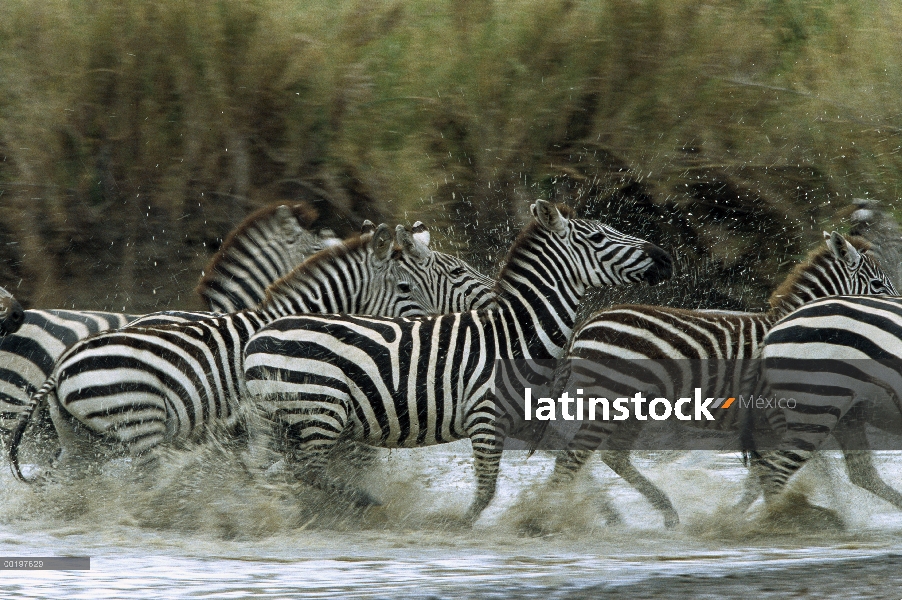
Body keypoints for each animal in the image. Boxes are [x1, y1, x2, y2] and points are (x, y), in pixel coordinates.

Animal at [238, 200, 672, 520]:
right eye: (598, 237)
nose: (665, 257)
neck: (514, 336)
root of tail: (260, 334)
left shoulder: (528, 418)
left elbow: (571, 464)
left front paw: (604, 513)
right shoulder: (485, 420)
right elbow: (486, 492)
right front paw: (458, 528)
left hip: (280, 422)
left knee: (265, 471)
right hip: (319, 413)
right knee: (303, 470)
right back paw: (369, 505)